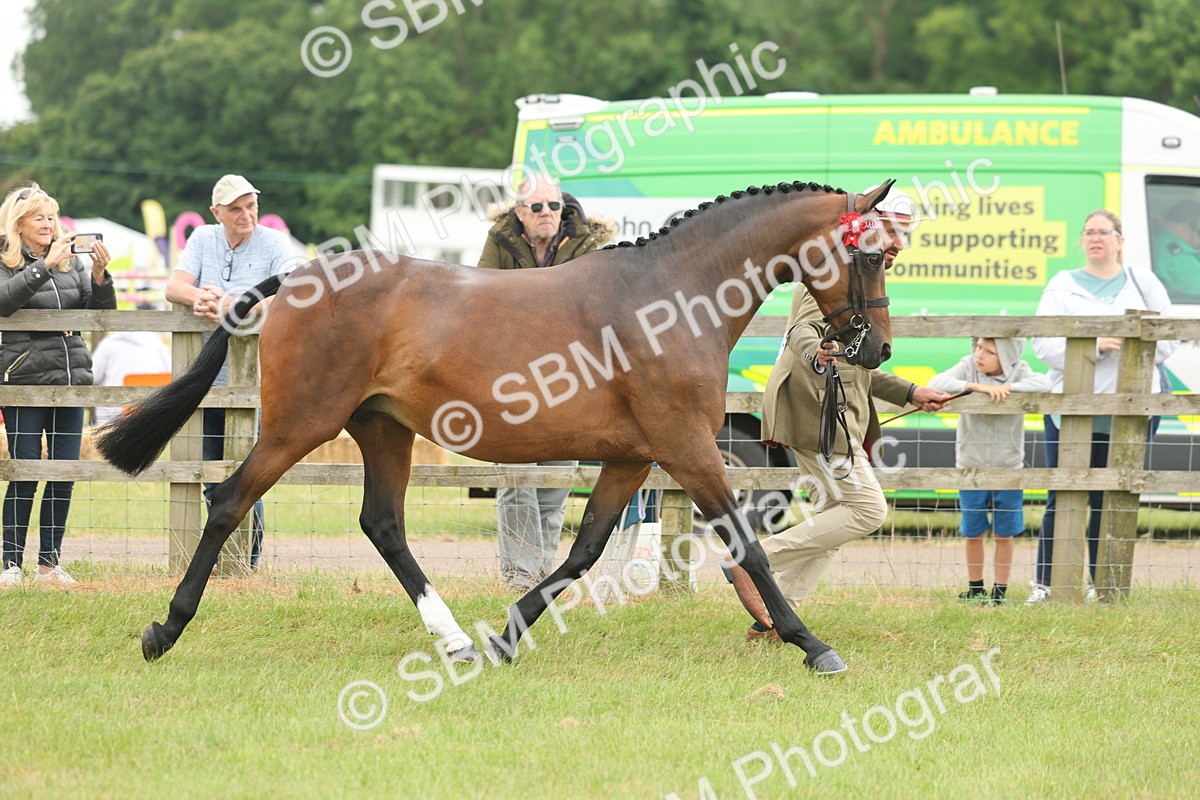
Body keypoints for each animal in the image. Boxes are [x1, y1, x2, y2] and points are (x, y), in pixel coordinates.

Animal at [96, 179, 897, 675]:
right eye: (869, 252)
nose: (876, 349)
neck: (672, 297)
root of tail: (297, 277)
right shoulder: (688, 449)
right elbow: (747, 544)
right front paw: (811, 643)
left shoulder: (633, 459)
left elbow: (582, 551)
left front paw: (506, 637)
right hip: (299, 425)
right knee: (230, 501)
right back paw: (164, 630)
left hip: (382, 430)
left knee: (382, 523)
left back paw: (453, 640)